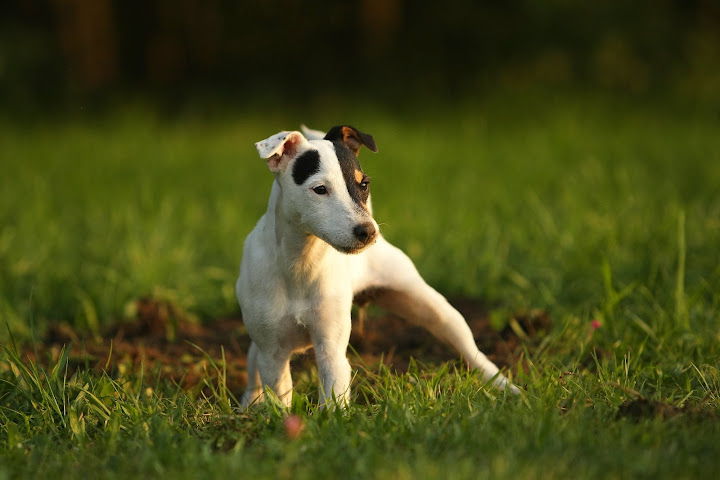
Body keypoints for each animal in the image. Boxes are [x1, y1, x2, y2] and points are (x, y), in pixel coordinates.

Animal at [236, 125, 516, 406]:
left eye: (364, 184)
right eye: (319, 189)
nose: (369, 232)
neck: (301, 264)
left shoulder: (331, 350)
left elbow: (332, 399)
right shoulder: (273, 355)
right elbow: (279, 397)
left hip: (434, 309)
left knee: (470, 350)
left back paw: (505, 386)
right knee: (253, 366)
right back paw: (249, 402)